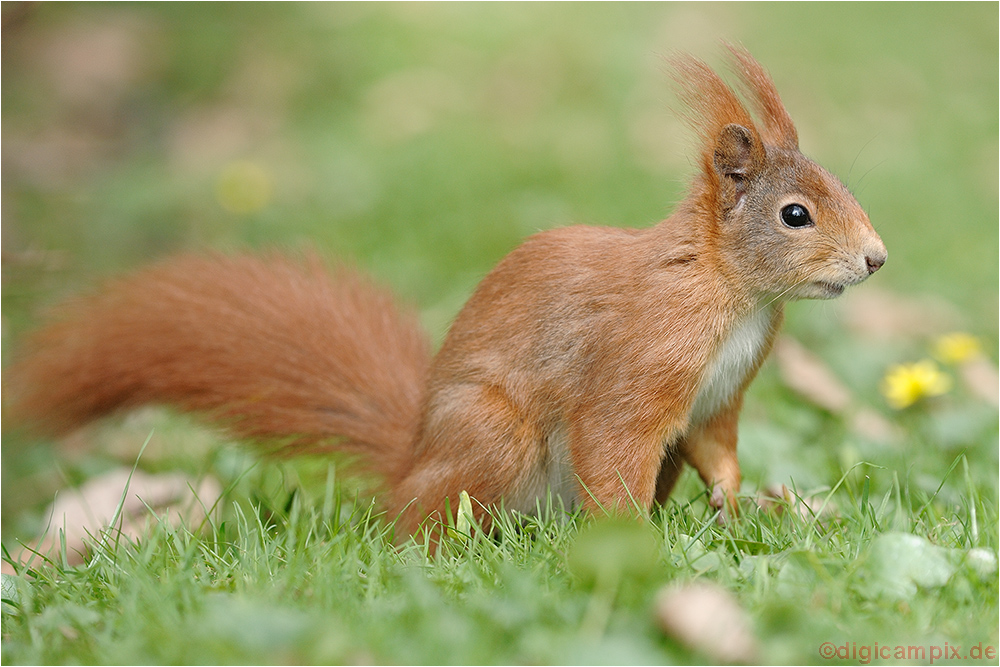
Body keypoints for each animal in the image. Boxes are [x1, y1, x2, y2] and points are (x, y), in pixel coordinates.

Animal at [5, 47, 884, 536]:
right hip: (491, 436)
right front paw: (642, 546)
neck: (730, 293)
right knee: (428, 526)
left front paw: (740, 510)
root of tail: (411, 461)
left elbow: (717, 451)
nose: (875, 259)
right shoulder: (637, 373)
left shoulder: (716, 397)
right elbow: (610, 454)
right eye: (796, 214)